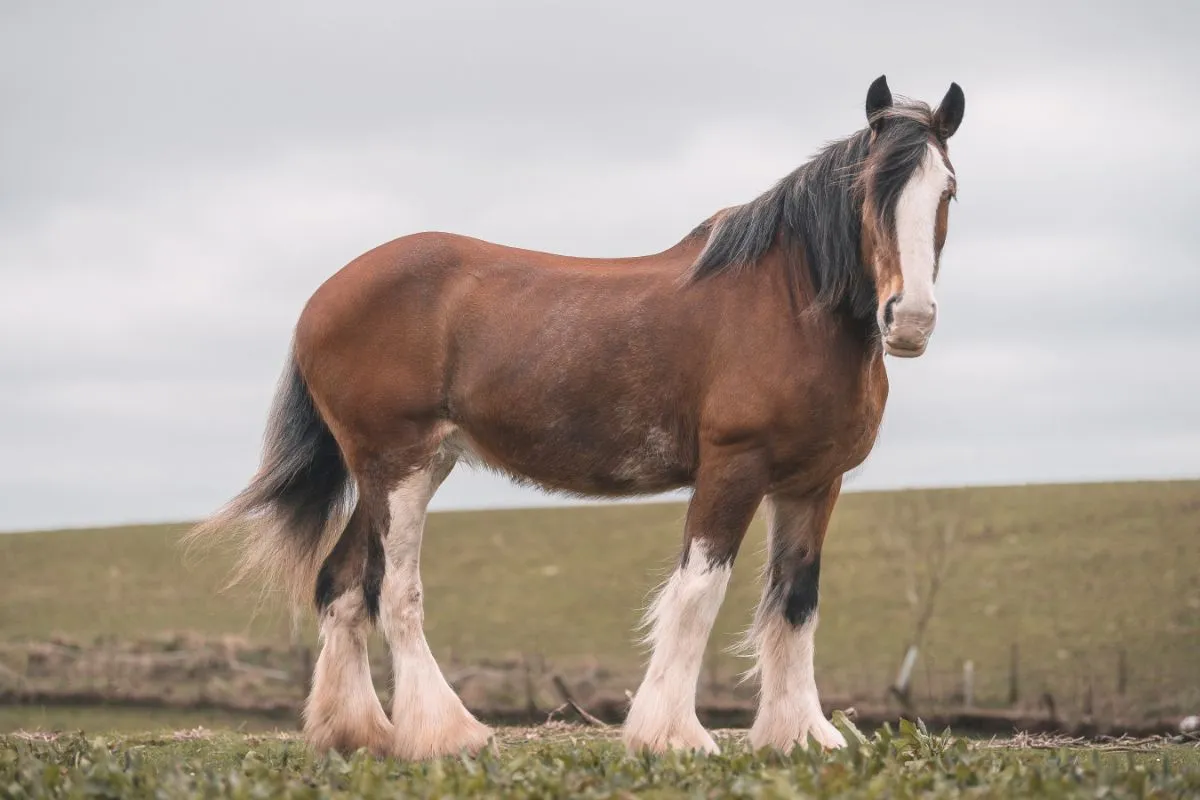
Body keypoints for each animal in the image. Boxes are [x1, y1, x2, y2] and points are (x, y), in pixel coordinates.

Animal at [188, 74, 965, 760]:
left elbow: (796, 602)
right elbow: (698, 595)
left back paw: (358, 733)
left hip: (403, 467)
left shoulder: (813, 483)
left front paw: (800, 733)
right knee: (394, 592)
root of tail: (322, 297)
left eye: (947, 190)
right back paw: (446, 734)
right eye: (870, 188)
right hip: (398, 465)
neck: (789, 304)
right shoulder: (733, 468)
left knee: (343, 585)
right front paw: (672, 736)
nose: (910, 319)